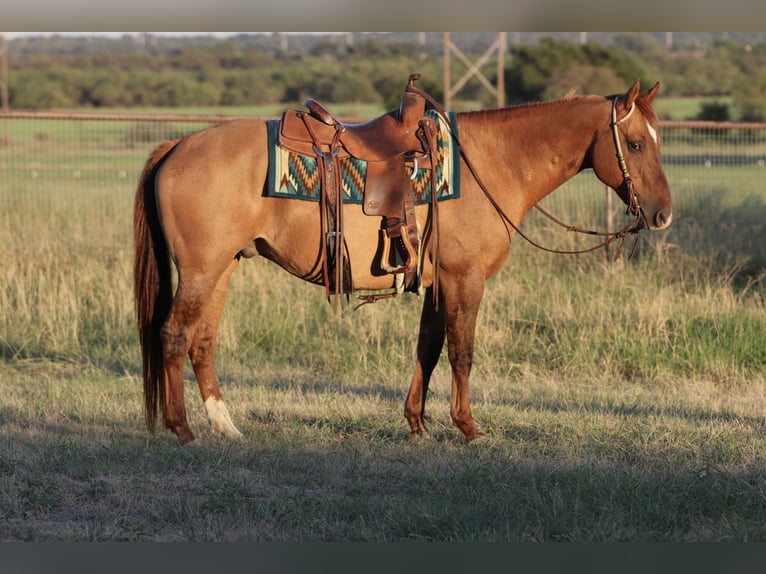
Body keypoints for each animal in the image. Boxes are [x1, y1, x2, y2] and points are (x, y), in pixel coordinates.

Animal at [133, 79, 672, 445]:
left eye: (658, 140)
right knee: (174, 336)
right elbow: (461, 352)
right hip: (201, 272)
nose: (663, 214)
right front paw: (468, 427)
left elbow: (427, 349)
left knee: (202, 342)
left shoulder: (436, 283)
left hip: (221, 268)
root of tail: (177, 145)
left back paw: (225, 426)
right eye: (636, 143)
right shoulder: (463, 279)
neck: (491, 163)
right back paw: (183, 430)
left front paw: (416, 423)